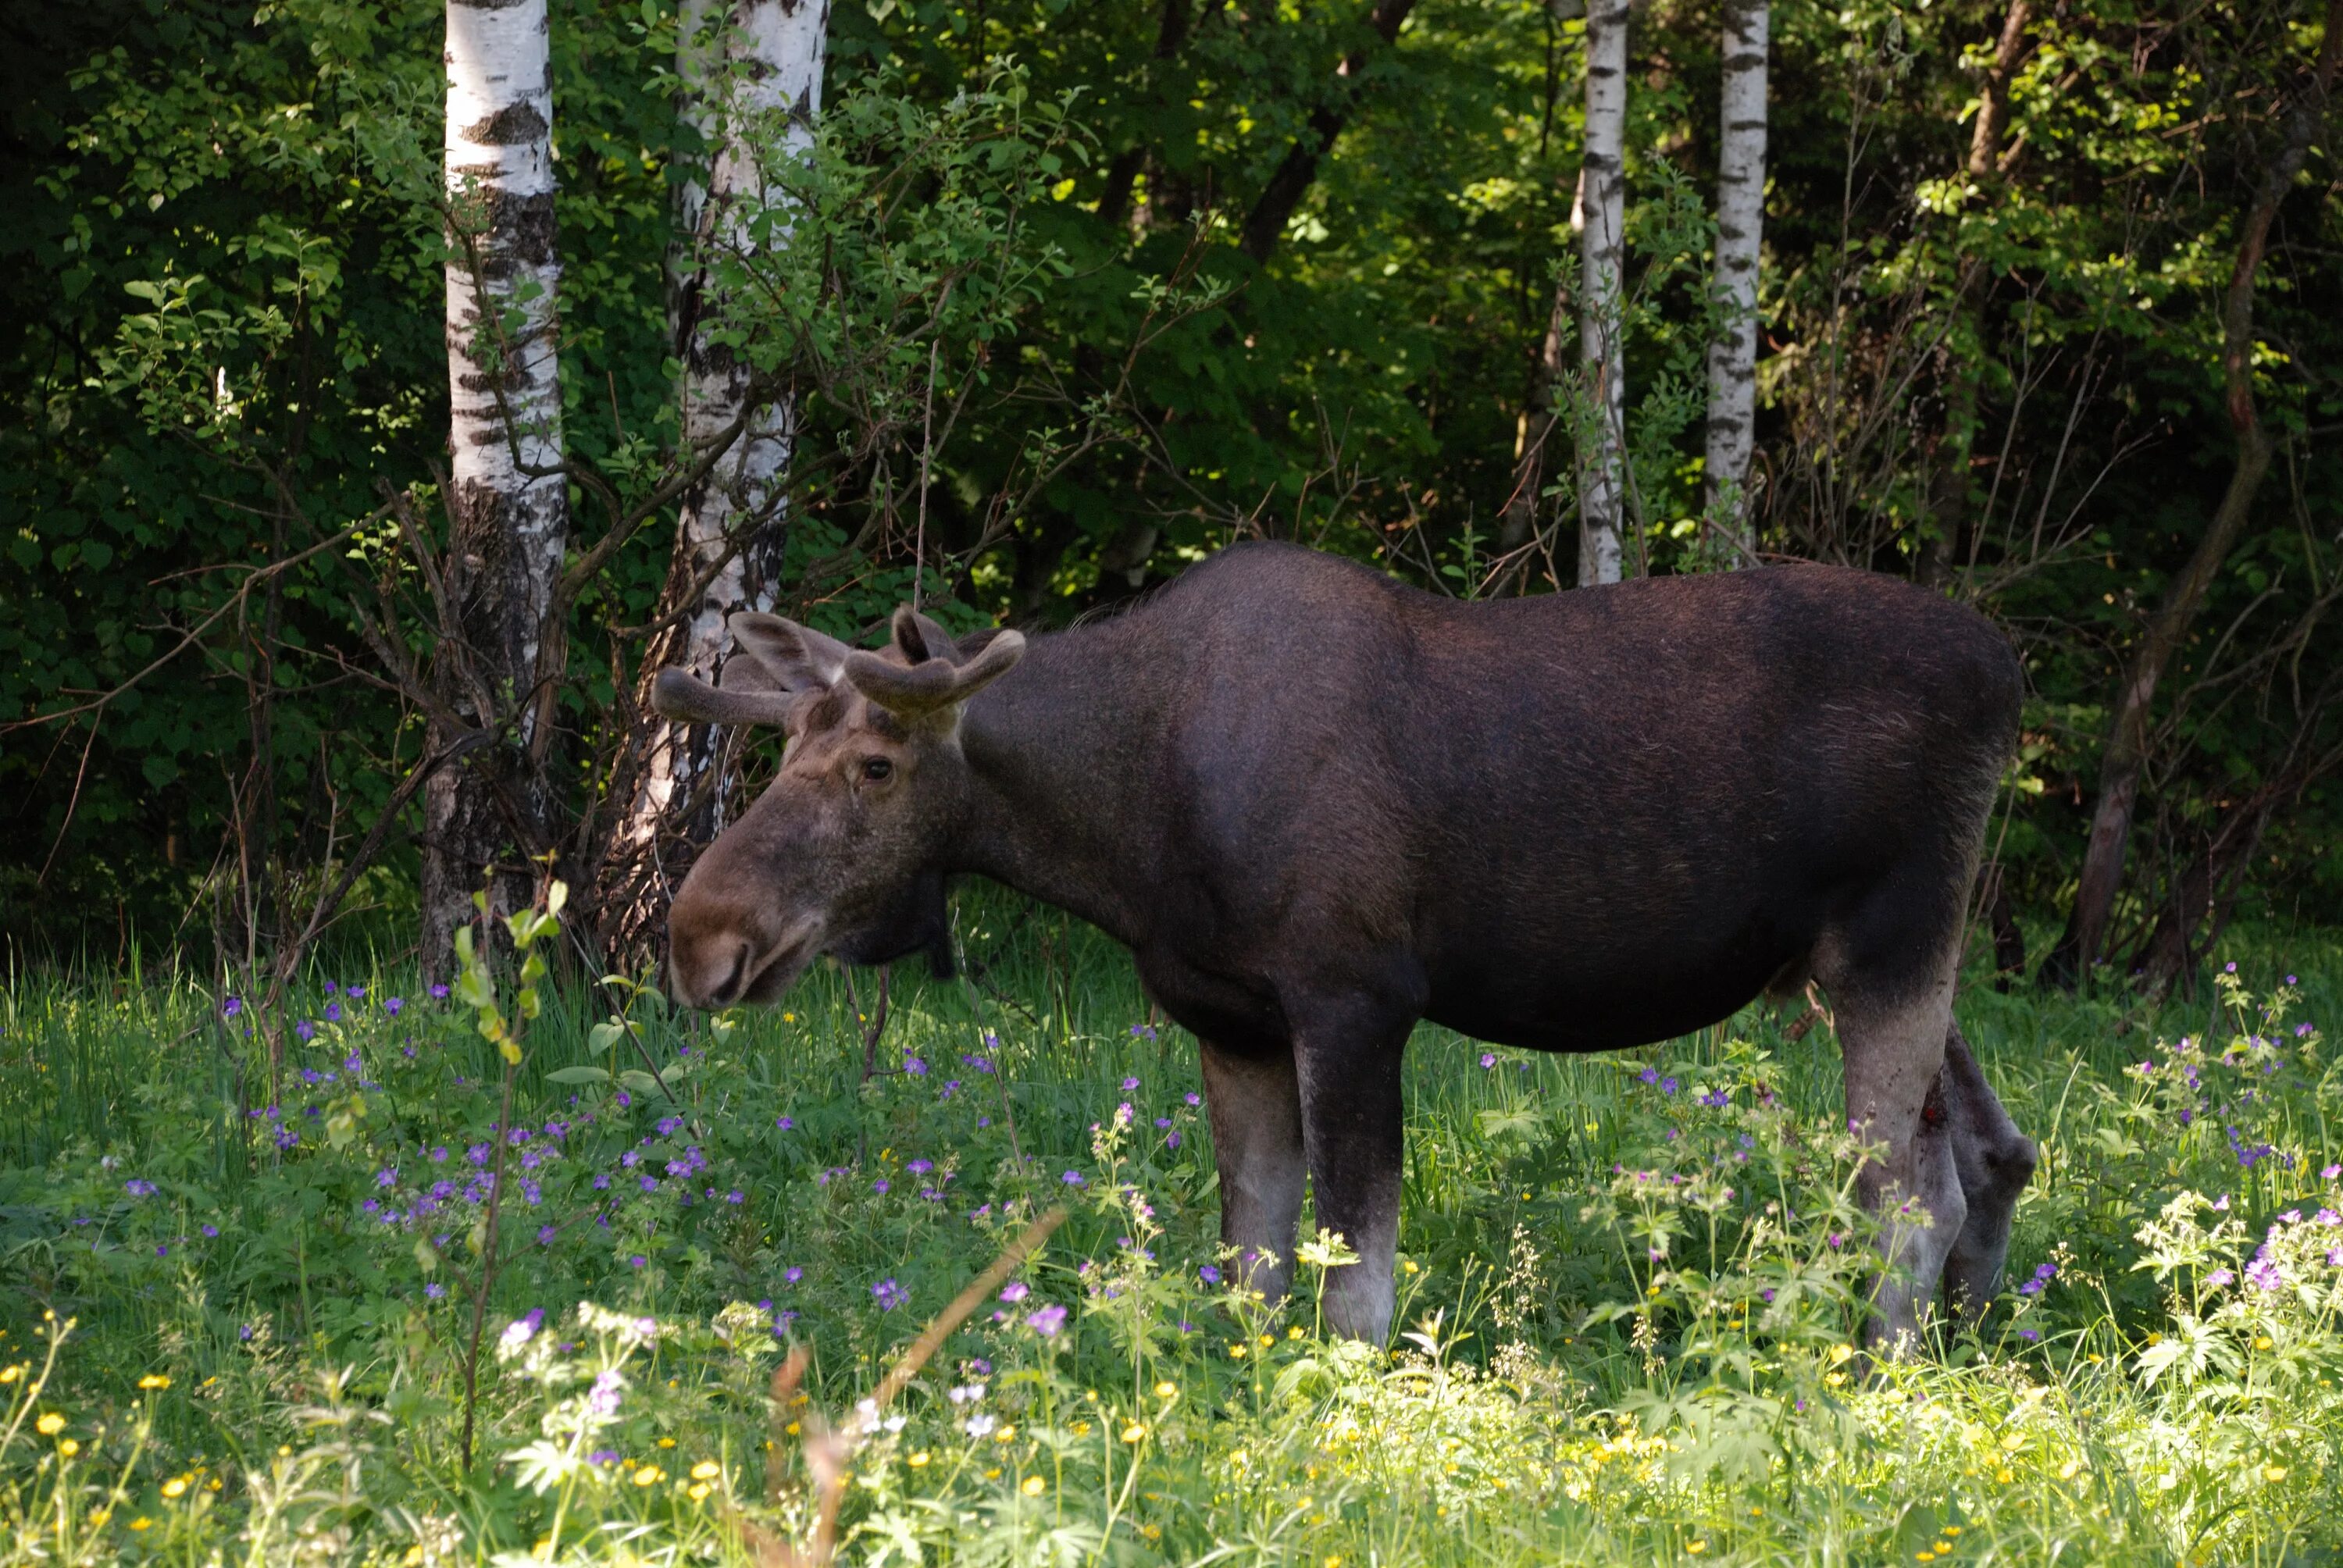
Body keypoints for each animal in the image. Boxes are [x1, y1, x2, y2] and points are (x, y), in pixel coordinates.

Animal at [647, 541, 2034, 1349]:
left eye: (876, 767)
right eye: (786, 746)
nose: (700, 937)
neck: (1127, 828)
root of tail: (2010, 674)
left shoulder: (1356, 996)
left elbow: (1354, 1280)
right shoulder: (1227, 1018)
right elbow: (1252, 1264)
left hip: (1893, 941)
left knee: (1909, 1194)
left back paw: (1876, 1376)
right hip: (1869, 960)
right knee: (1991, 1150)